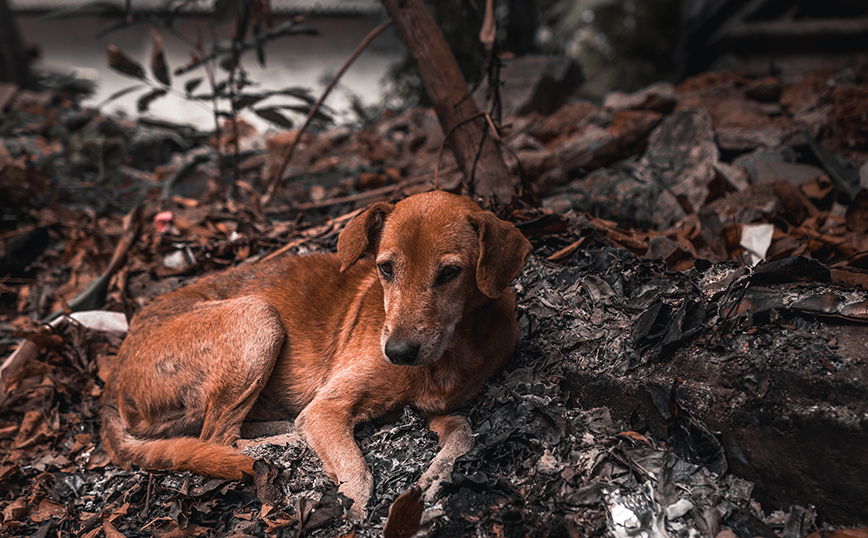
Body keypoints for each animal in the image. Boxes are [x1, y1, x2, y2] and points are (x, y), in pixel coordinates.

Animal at [102, 192, 536, 516]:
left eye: (449, 273)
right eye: (385, 268)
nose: (397, 352)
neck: (450, 355)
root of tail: (111, 384)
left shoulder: (428, 410)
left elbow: (463, 430)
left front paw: (437, 475)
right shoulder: (327, 409)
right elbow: (356, 472)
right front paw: (354, 507)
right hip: (258, 315)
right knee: (217, 438)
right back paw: (280, 445)